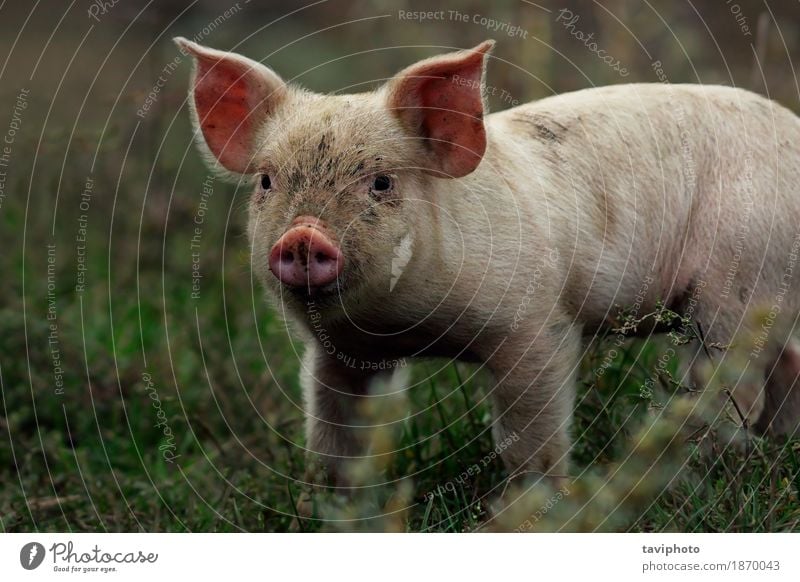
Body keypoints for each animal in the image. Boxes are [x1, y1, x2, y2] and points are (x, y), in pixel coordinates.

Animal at [177, 37, 800, 492]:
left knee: (734, 383)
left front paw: (535, 501)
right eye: (266, 181)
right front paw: (337, 504)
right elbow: (333, 430)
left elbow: (529, 434)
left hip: (739, 275)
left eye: (381, 182)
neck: (406, 329)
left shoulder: (536, 325)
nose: (304, 237)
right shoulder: (340, 353)